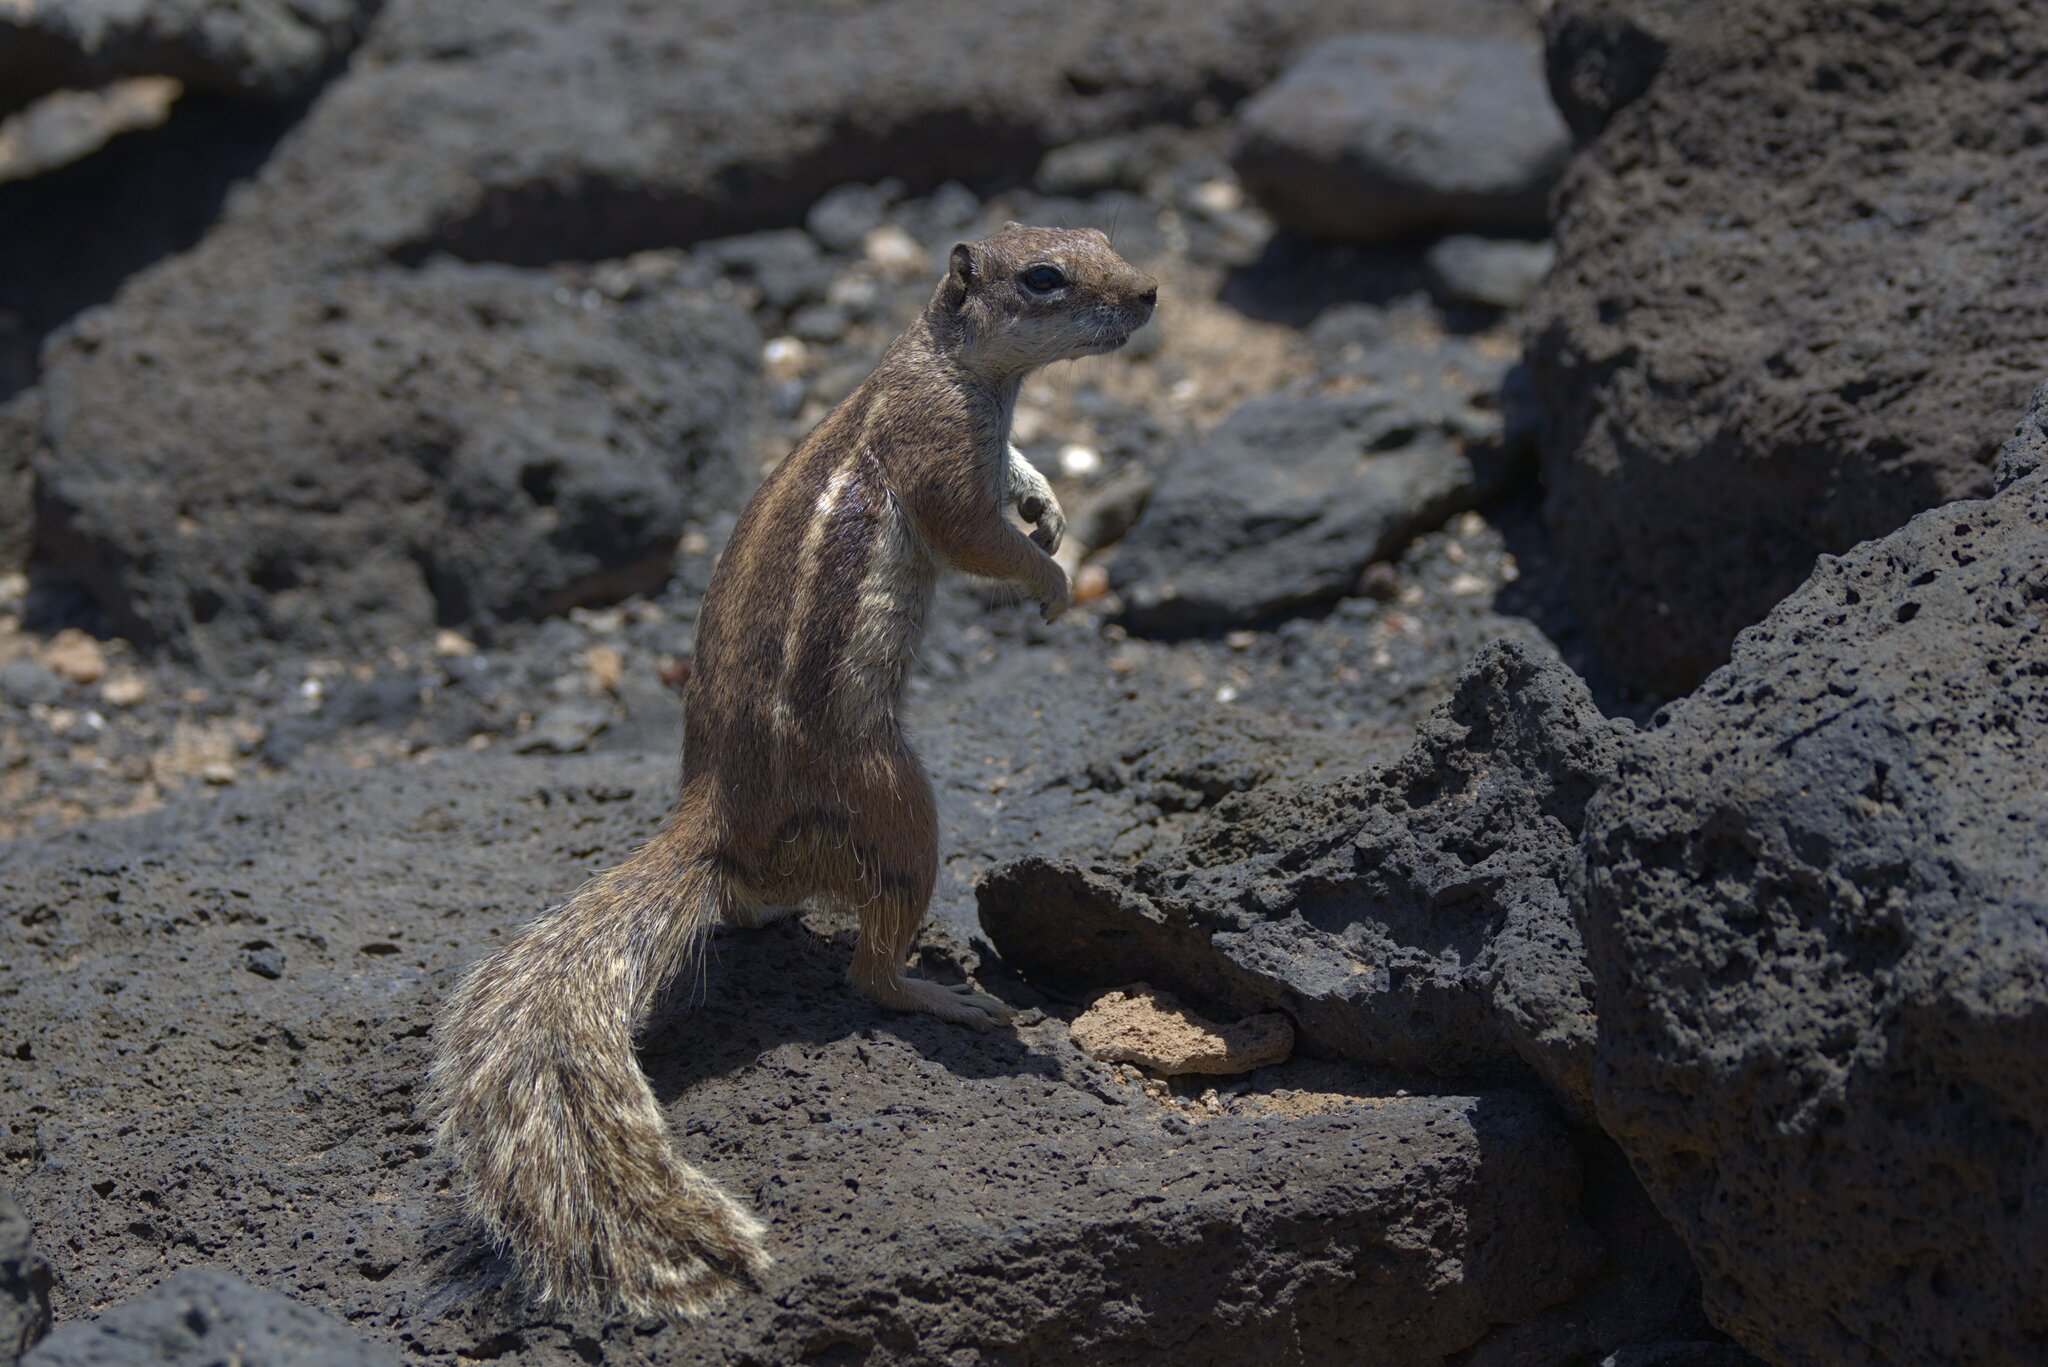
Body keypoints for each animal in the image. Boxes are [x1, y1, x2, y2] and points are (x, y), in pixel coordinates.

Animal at [428, 225, 1158, 1321]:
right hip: (895, 801)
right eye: (1044, 278)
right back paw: (949, 998)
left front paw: (1050, 505)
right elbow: (974, 534)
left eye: (1104, 239)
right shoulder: (939, 451)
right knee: (870, 972)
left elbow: (1021, 484)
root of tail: (714, 818)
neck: (946, 361)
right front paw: (1053, 580)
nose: (1150, 291)